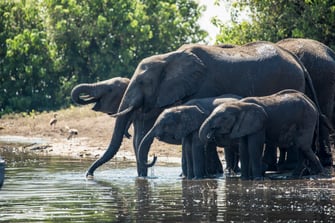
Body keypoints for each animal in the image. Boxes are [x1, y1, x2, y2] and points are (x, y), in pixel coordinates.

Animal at [86, 41, 318, 178]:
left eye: (143, 82)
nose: (89, 175)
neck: (169, 57)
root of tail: (297, 60)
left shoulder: (203, 85)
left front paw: (207, 175)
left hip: (289, 82)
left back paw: (284, 171)